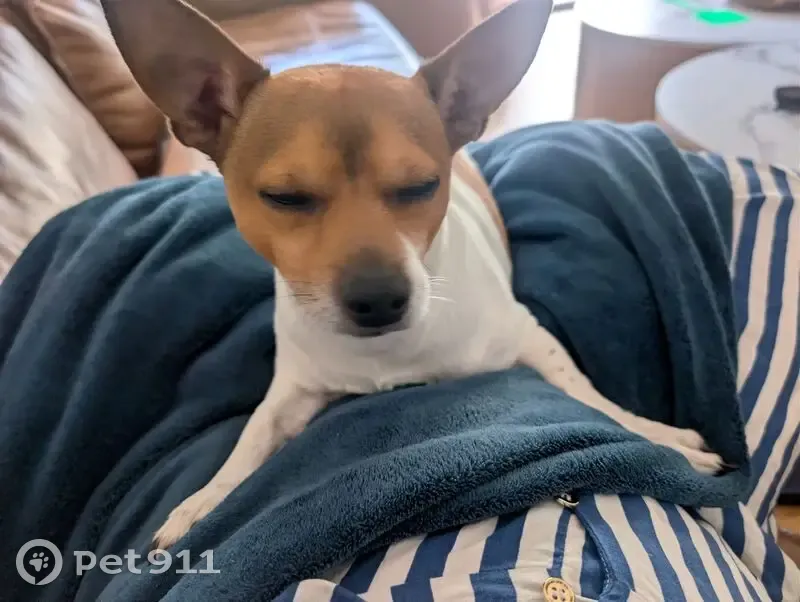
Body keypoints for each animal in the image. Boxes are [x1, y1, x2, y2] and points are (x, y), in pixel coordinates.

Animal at [100, 0, 724, 550]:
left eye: (422, 186)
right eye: (284, 198)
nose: (379, 298)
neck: (387, 357)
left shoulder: (528, 335)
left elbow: (591, 397)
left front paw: (660, 437)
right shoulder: (294, 390)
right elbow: (252, 436)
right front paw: (207, 498)